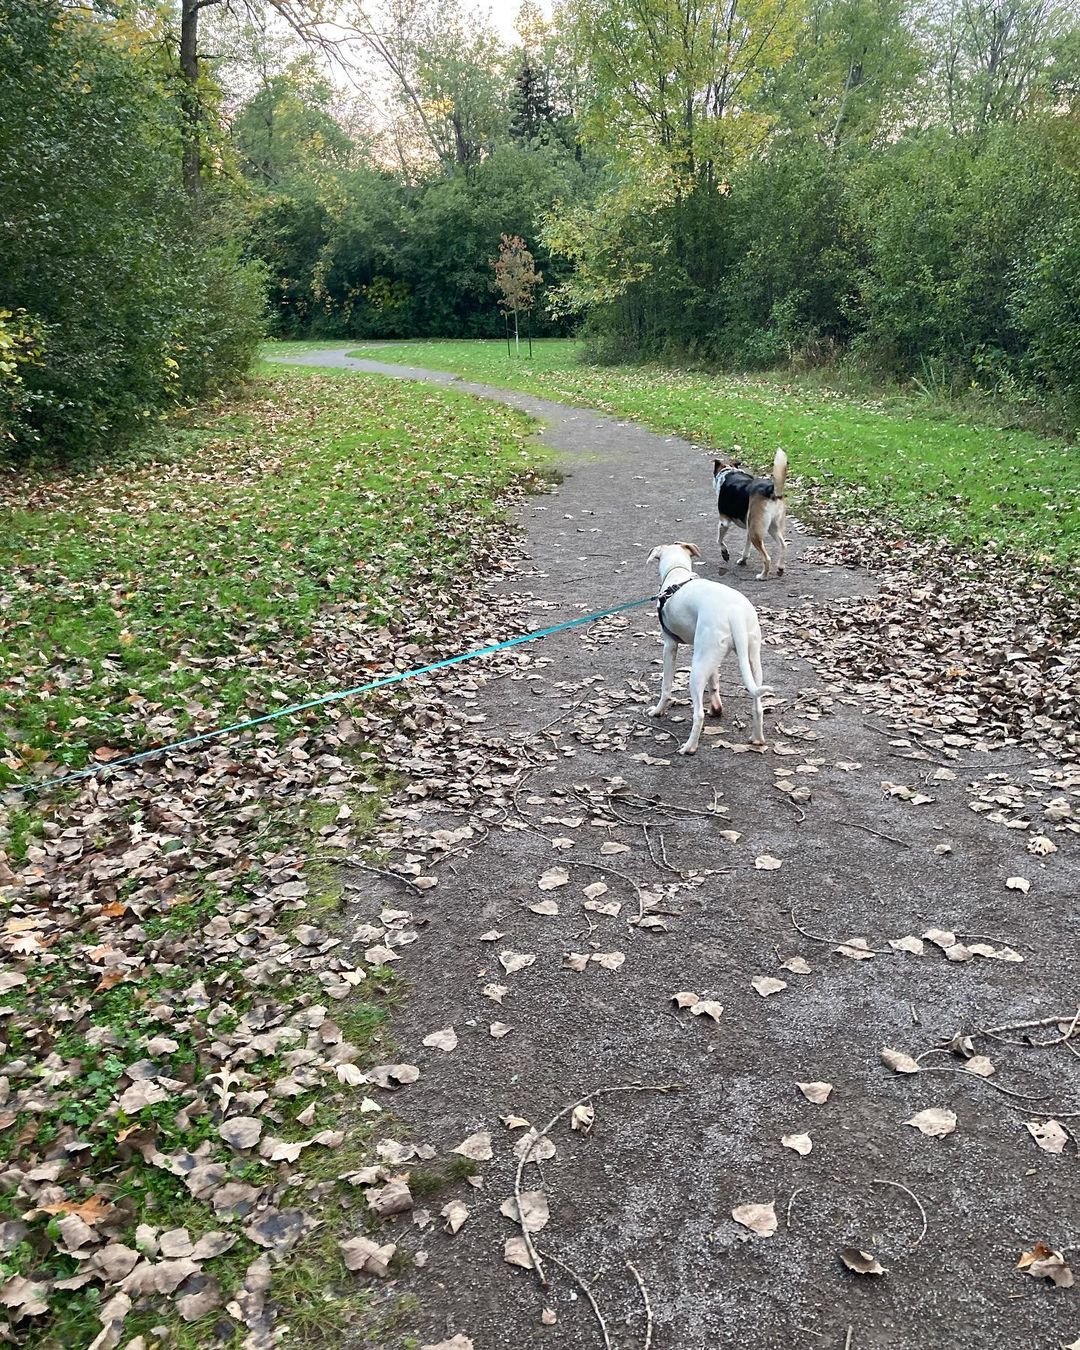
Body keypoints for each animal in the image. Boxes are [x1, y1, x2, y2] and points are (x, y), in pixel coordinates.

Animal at [645, 542, 772, 756]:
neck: (677, 572)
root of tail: (734, 613)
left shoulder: (669, 646)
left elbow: (666, 686)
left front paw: (657, 711)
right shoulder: (712, 661)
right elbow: (714, 682)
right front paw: (716, 708)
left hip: (696, 669)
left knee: (698, 715)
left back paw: (689, 747)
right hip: (750, 662)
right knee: (758, 706)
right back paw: (757, 739)